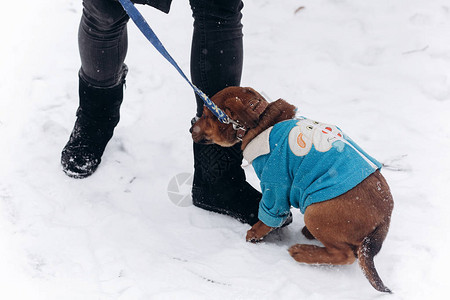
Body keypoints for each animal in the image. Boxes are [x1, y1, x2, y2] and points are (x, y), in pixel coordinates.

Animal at [190, 86, 394, 292]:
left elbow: (268, 218)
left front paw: (255, 234)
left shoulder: (275, 186)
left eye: (206, 115)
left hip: (315, 212)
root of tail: (385, 220)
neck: (261, 121)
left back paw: (301, 252)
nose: (191, 127)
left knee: (345, 255)